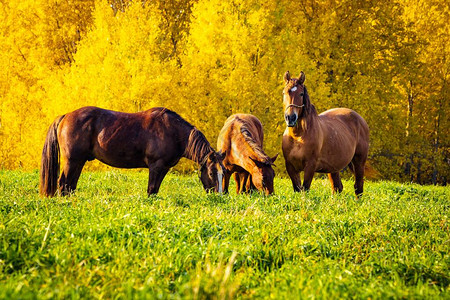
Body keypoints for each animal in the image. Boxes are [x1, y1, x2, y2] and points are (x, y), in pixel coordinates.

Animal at [39, 106, 225, 197]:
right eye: (211, 172)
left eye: (223, 172)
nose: (219, 196)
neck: (173, 131)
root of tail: (65, 116)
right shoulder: (156, 166)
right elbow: (151, 190)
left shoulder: (163, 168)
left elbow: (155, 190)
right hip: (72, 160)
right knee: (63, 184)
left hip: (79, 161)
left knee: (70, 186)